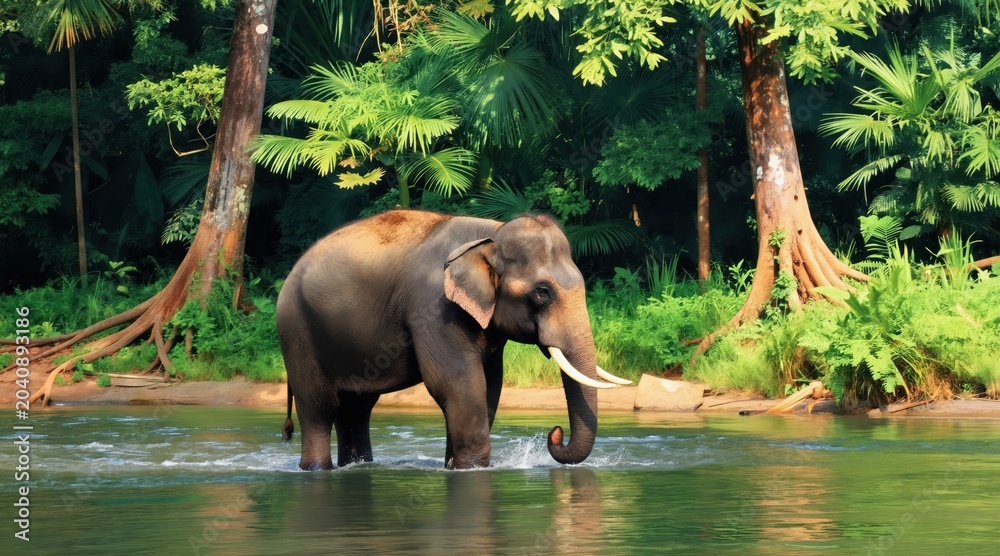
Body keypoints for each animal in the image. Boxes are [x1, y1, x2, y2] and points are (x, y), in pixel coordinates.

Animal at [276, 209, 630, 470]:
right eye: (542, 292)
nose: (554, 433)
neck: (491, 235)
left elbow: (489, 385)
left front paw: (455, 467)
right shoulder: (433, 309)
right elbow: (458, 383)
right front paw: (471, 469)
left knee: (355, 410)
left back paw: (358, 466)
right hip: (298, 334)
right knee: (319, 408)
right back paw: (317, 469)